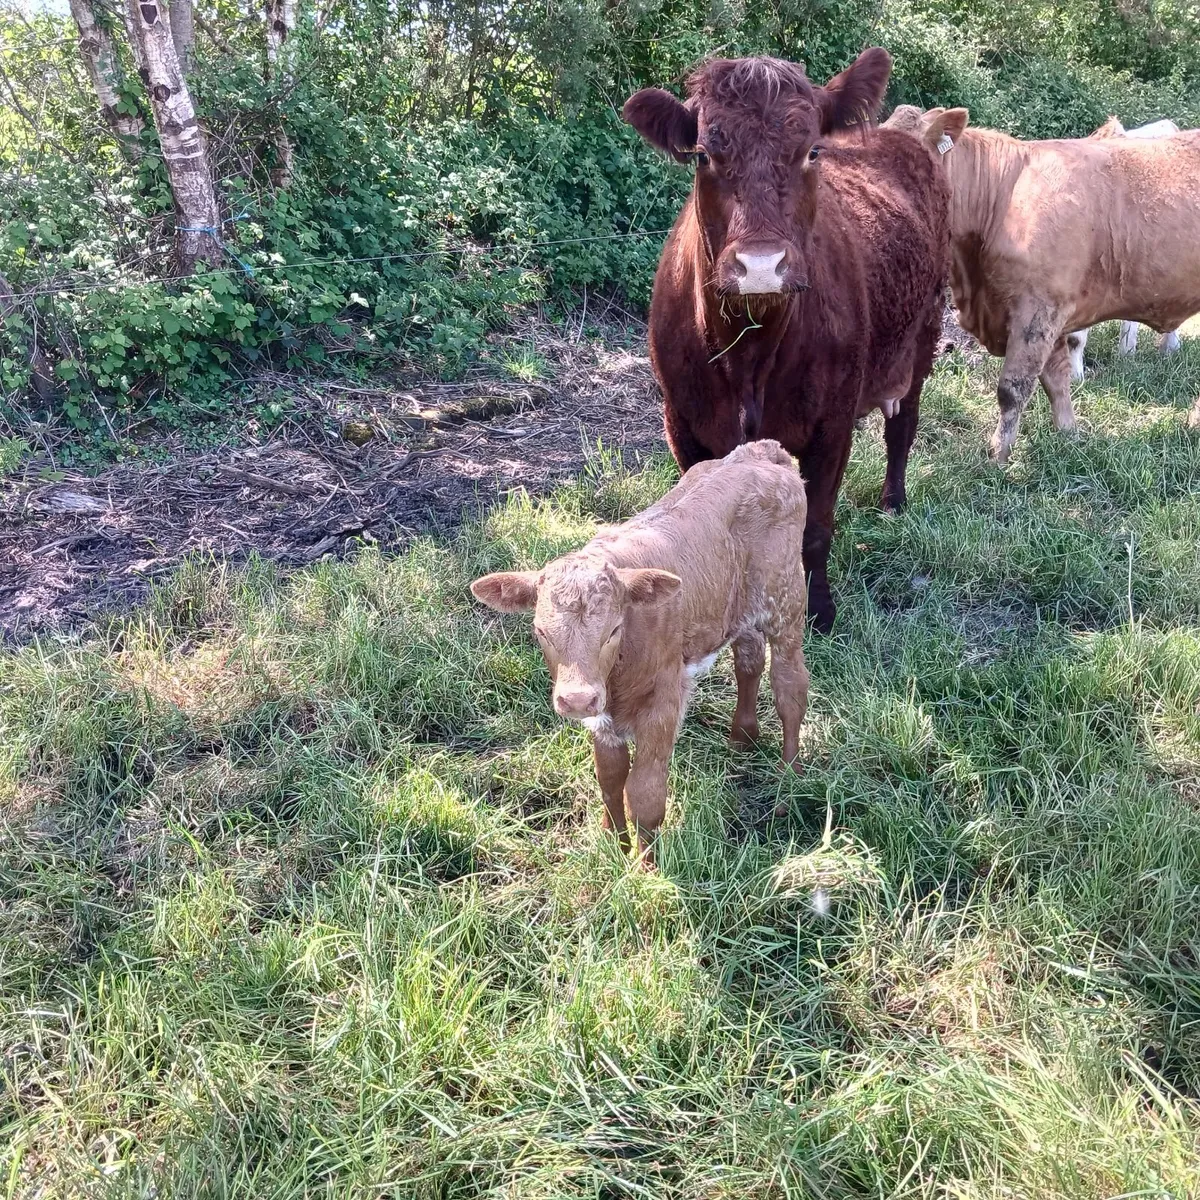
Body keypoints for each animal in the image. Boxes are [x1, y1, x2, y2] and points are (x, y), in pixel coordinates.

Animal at [471, 440, 810, 867]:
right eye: (540, 631)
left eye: (614, 630)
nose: (576, 699)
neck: (617, 677)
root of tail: (763, 450)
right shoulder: (602, 714)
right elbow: (610, 779)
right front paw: (614, 847)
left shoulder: (664, 699)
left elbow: (644, 793)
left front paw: (646, 867)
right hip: (737, 609)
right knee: (748, 660)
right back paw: (742, 739)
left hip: (787, 601)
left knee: (789, 688)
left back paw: (788, 780)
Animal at [621, 50, 952, 633]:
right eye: (704, 155)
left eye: (812, 151)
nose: (761, 265)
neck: (749, 353)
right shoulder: (683, 425)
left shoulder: (831, 427)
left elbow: (815, 528)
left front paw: (817, 611)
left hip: (926, 331)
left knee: (903, 424)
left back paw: (893, 501)